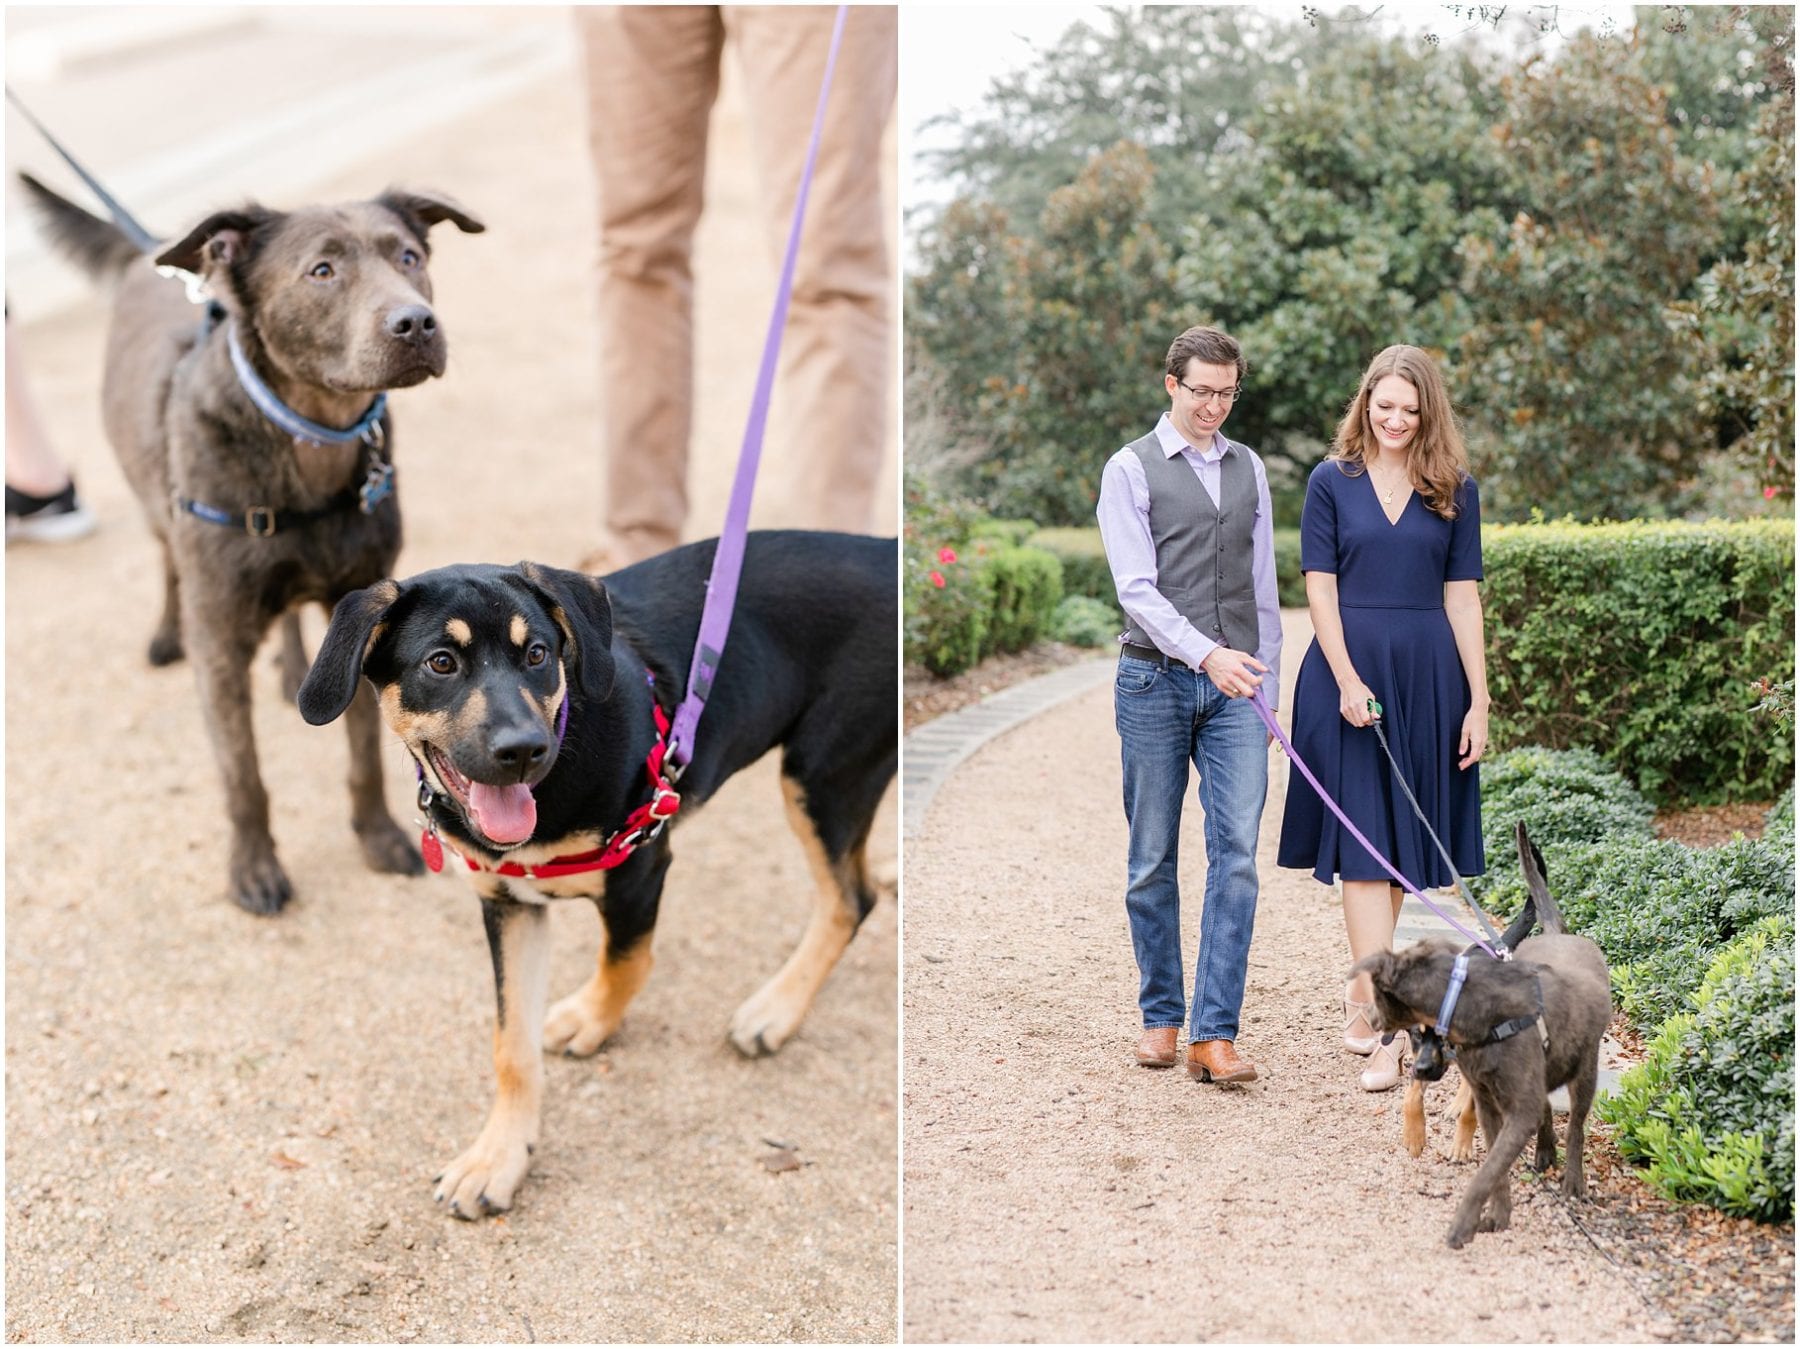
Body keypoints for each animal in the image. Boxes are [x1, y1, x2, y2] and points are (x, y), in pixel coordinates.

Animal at [24, 165, 486, 904]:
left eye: (410, 257)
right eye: (322, 270)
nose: (416, 322)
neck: (305, 439)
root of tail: (146, 250)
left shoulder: (364, 613)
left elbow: (363, 754)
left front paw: (377, 836)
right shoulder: (218, 640)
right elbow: (243, 776)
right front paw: (254, 866)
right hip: (154, 501)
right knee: (166, 558)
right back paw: (166, 632)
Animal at [297, 533, 900, 1217]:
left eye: (537, 653)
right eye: (441, 663)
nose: (523, 751)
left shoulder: (640, 864)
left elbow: (626, 963)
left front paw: (592, 1019)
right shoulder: (509, 904)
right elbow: (512, 1046)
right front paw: (499, 1156)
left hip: (823, 773)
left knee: (850, 898)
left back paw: (774, 1011)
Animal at [1353, 821, 1612, 1253]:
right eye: (1414, 1035)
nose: (1424, 1069)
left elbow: (1482, 1143)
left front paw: (1460, 1149)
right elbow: (1413, 1099)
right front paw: (1415, 1135)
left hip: (1583, 1070)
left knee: (1573, 1122)